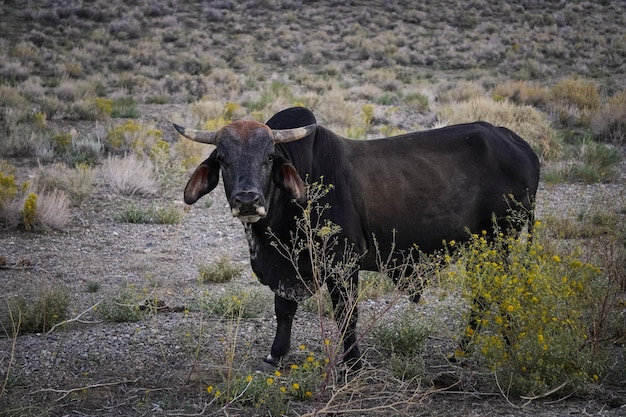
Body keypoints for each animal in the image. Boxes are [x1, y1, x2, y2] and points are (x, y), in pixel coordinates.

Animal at [173, 107, 540, 370]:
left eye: (269, 158)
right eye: (223, 159)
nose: (247, 200)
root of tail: (514, 141)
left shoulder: (343, 264)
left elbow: (346, 315)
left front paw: (352, 364)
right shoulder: (288, 269)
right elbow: (284, 309)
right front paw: (275, 355)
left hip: (499, 242)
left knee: (496, 293)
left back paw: (500, 351)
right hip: (482, 247)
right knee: (485, 295)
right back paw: (464, 354)